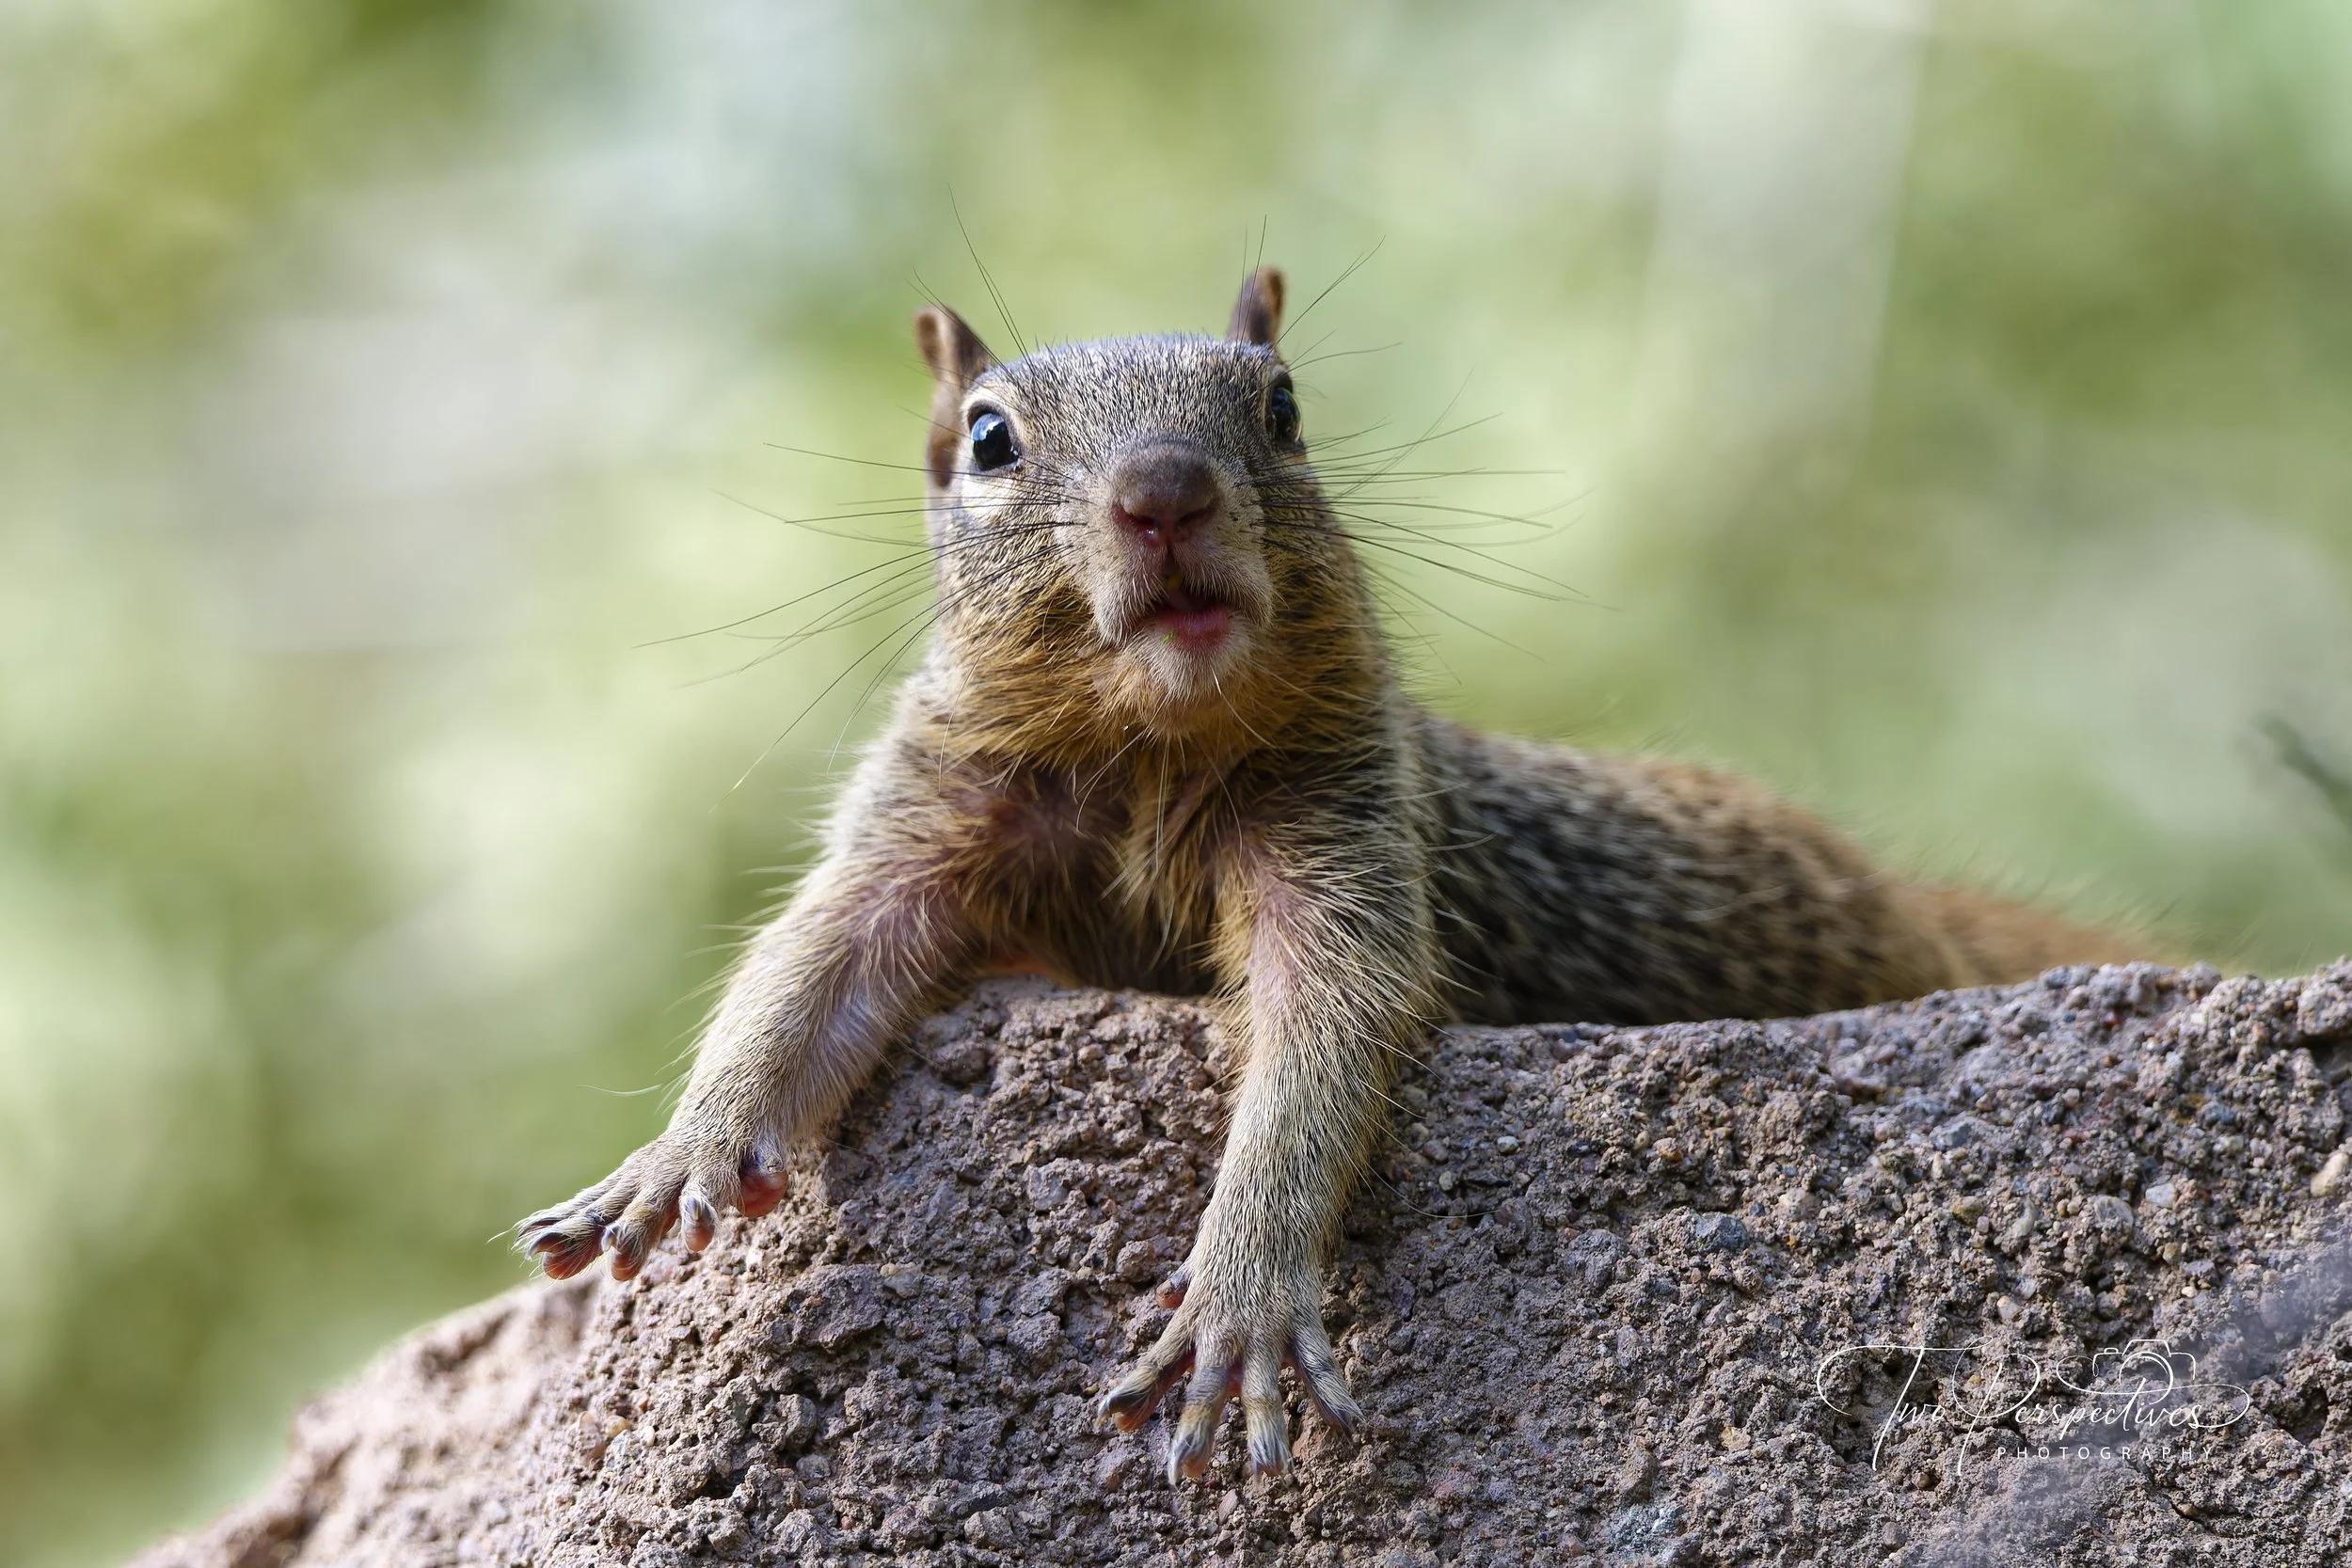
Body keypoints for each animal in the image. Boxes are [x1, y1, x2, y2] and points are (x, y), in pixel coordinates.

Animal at [519, 268, 2134, 1486]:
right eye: (985, 439)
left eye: (1283, 408)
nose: (1166, 490)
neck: (1146, 751)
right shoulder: (923, 827)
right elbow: (809, 972)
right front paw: (678, 1152)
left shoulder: (1346, 840)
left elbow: (1323, 1038)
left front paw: (1239, 1290)